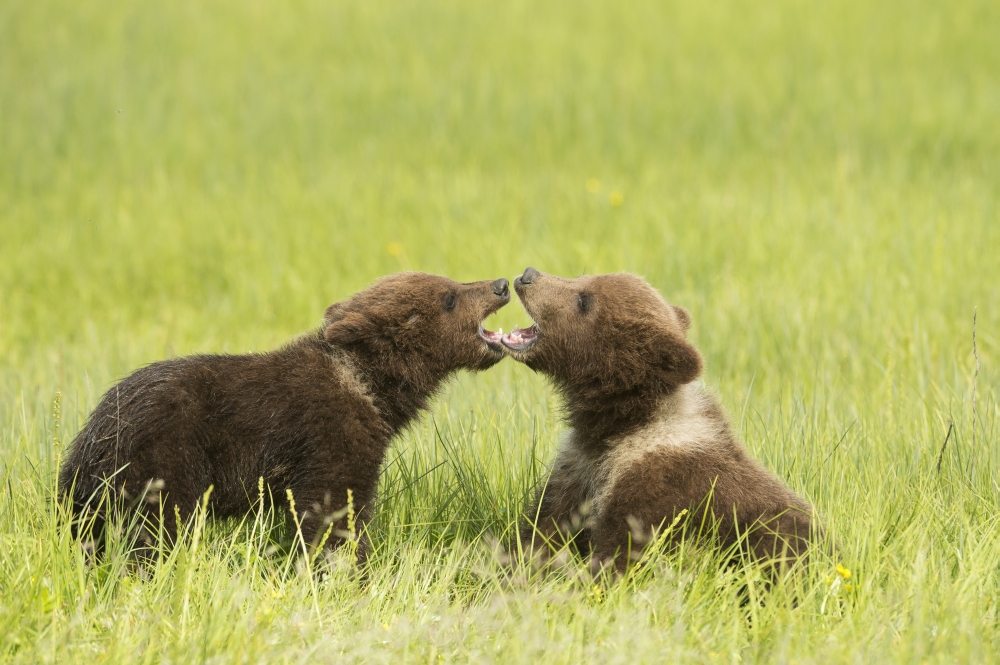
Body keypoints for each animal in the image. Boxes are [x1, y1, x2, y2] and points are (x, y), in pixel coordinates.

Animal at [59, 272, 511, 565]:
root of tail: (96, 430)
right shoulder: (330, 433)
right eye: (449, 296)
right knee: (153, 531)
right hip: (160, 458)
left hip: (84, 487)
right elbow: (334, 511)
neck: (372, 390)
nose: (501, 285)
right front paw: (346, 571)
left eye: (451, 282)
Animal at [500, 267, 815, 573]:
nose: (528, 275)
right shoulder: (577, 469)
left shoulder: (660, 483)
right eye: (582, 277)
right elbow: (545, 527)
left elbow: (625, 552)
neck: (621, 426)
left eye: (585, 301)